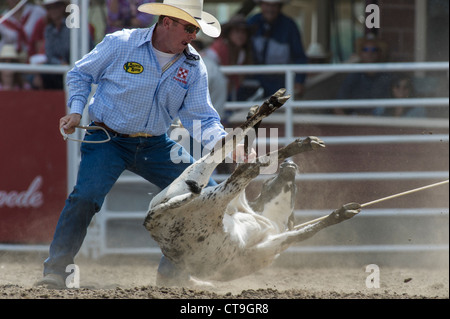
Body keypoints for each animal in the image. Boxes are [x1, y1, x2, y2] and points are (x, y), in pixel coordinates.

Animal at [144, 89, 362, 284]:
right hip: (213, 196)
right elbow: (302, 234)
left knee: (237, 157)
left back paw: (277, 115)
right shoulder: (266, 247)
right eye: (268, 183)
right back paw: (286, 125)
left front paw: (342, 212)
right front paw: (342, 213)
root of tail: (152, 222)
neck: (267, 216)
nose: (289, 167)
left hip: (193, 185)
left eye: (295, 190)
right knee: (248, 165)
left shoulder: (243, 211)